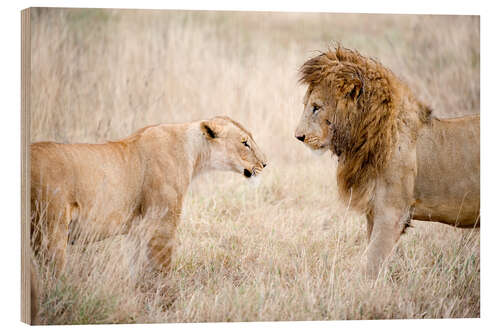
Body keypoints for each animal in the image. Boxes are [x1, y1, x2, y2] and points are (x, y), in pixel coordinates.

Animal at [30, 116, 268, 274]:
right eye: (245, 142)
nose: (265, 163)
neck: (194, 153)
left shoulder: (138, 230)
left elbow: (138, 271)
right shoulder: (161, 224)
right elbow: (160, 270)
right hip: (50, 232)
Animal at [294, 45, 478, 276]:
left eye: (316, 107)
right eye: (306, 105)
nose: (298, 136)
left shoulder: (392, 214)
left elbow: (371, 264)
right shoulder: (374, 212)